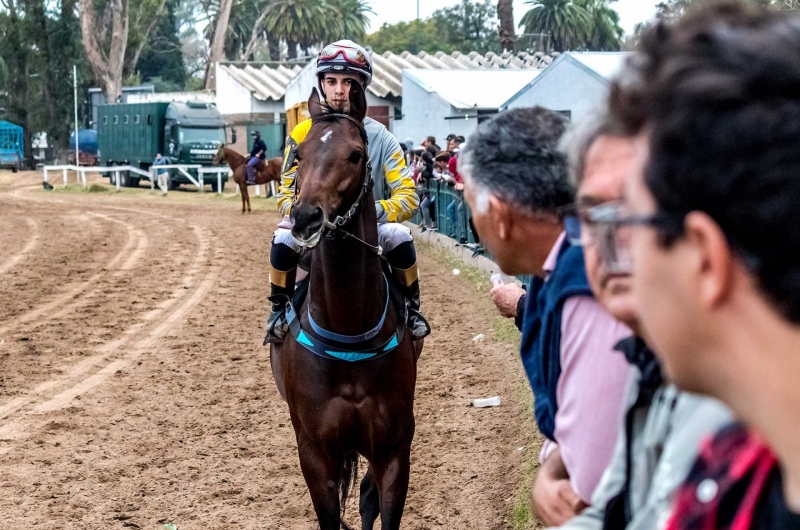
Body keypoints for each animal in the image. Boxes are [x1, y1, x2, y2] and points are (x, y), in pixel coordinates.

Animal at [268, 83, 418, 528]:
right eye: (298, 156)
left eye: (354, 154)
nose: (305, 217)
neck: (350, 332)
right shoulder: (315, 454)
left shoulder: (394, 450)